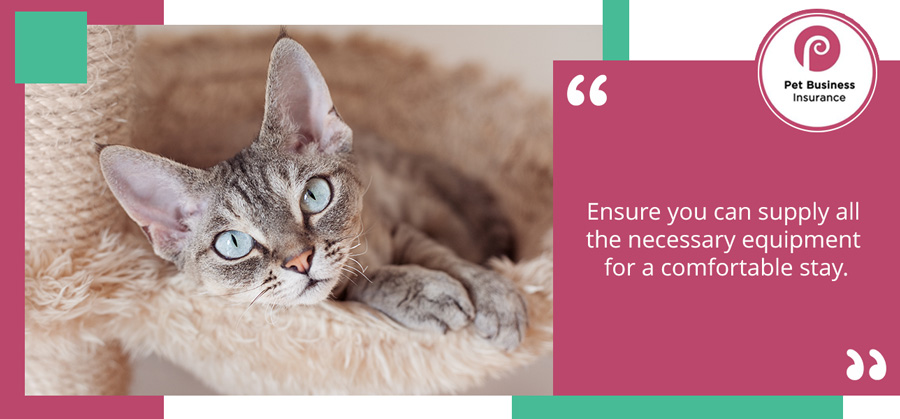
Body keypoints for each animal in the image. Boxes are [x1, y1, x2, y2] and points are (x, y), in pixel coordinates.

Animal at [100, 33, 528, 352]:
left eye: (314, 196)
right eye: (234, 243)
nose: (300, 260)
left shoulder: (396, 225)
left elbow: (446, 256)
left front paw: (494, 294)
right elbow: (364, 281)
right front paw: (423, 292)